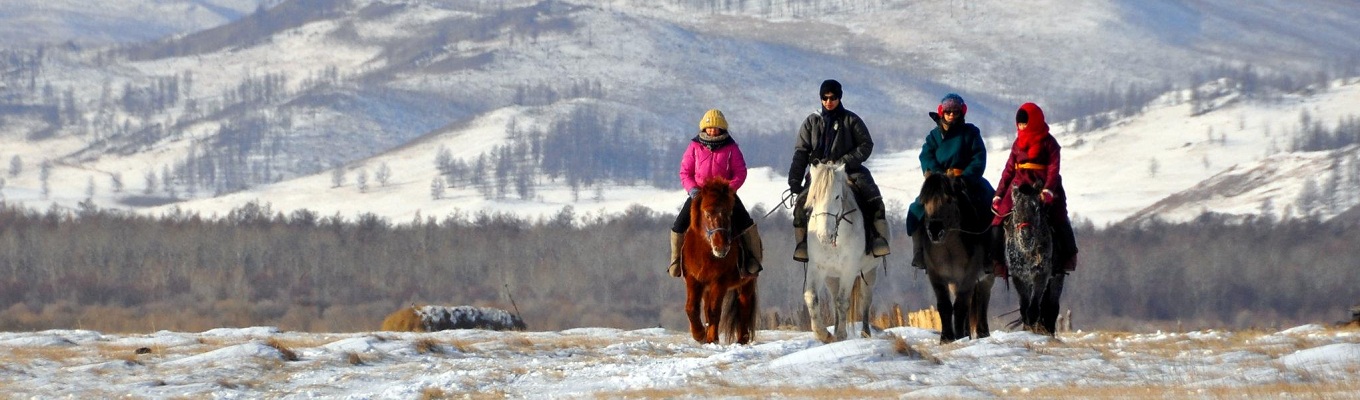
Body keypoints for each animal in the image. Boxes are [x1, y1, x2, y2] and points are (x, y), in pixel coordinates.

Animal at [685, 176, 761, 344]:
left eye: (729, 213)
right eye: (707, 214)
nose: (721, 248)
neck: (705, 252)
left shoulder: (719, 281)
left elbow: (714, 311)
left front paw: (711, 339)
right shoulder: (693, 279)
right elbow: (692, 308)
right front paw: (699, 334)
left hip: (747, 282)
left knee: (744, 306)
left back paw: (741, 340)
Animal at [794, 161, 881, 342]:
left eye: (836, 196)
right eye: (814, 197)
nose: (824, 235)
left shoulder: (849, 270)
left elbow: (843, 302)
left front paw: (841, 335)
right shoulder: (817, 268)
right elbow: (811, 297)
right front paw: (824, 334)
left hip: (870, 272)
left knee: (865, 300)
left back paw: (865, 333)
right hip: (832, 277)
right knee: (834, 299)